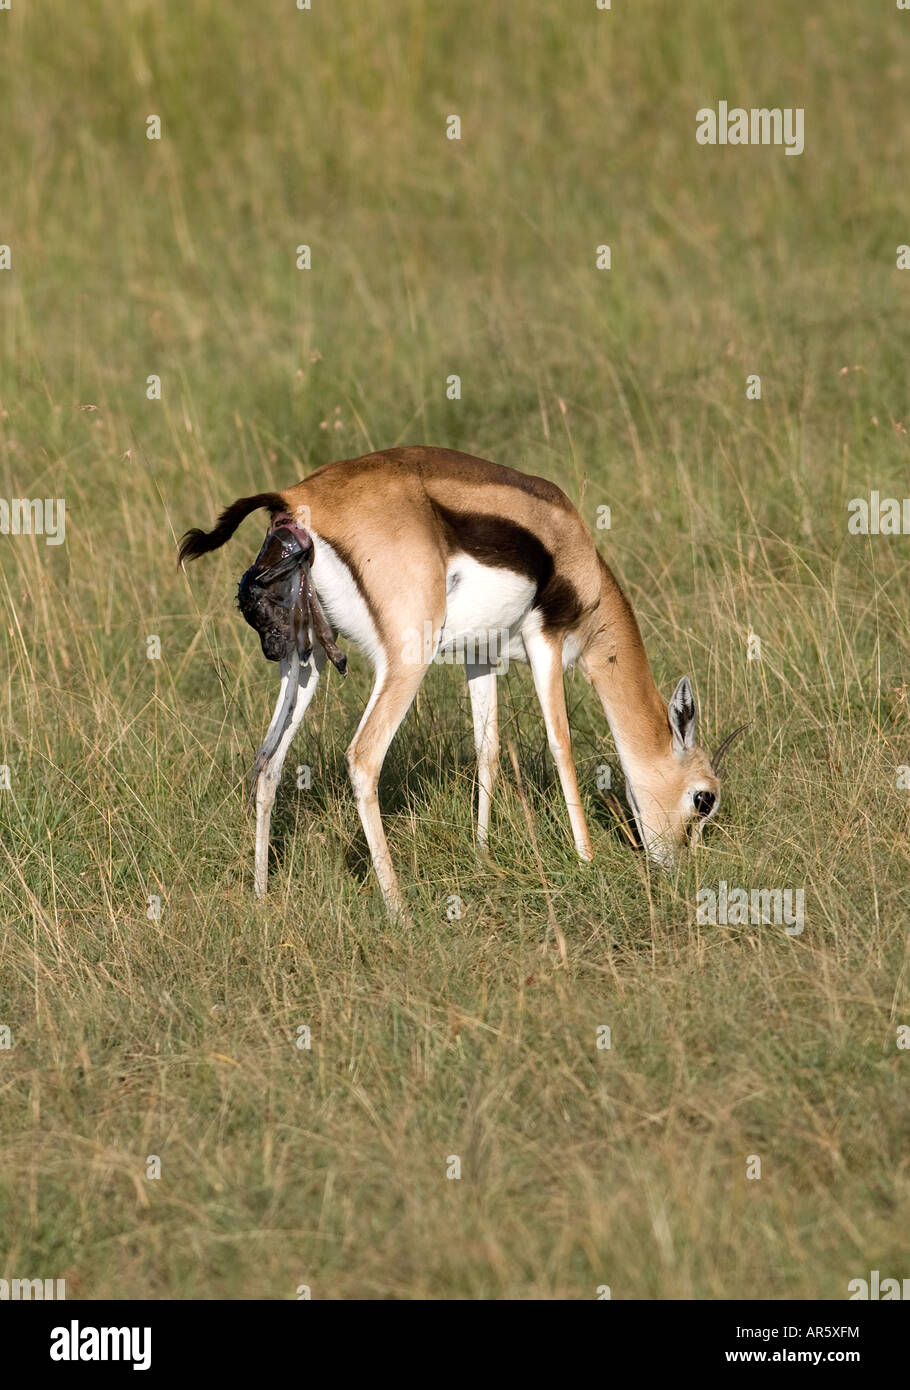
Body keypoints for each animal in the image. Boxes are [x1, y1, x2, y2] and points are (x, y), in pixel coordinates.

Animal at [179, 446, 742, 915]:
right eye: (704, 799)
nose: (679, 870)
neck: (574, 555)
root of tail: (295, 501)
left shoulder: (481, 655)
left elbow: (486, 748)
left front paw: (482, 852)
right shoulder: (547, 640)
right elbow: (561, 745)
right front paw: (586, 859)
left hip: (306, 659)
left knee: (268, 763)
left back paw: (260, 895)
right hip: (406, 659)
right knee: (363, 757)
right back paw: (398, 908)